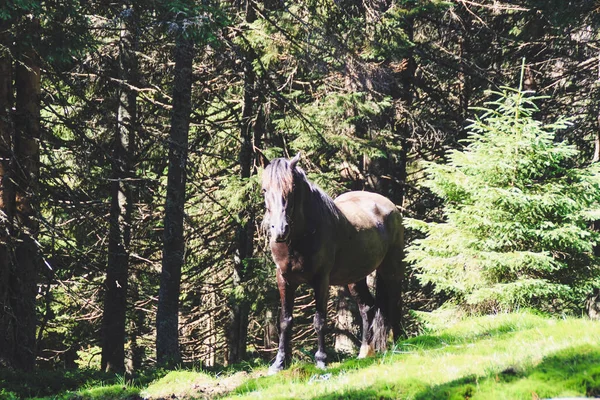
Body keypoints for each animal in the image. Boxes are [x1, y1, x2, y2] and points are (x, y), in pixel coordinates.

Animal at [262, 152, 406, 374]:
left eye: (292, 188)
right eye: (264, 189)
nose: (280, 230)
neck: (300, 238)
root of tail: (390, 206)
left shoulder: (321, 279)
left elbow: (320, 321)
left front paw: (321, 361)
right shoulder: (284, 279)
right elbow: (285, 321)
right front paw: (279, 364)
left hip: (391, 269)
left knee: (394, 302)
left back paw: (400, 343)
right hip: (356, 277)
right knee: (367, 307)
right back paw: (364, 352)